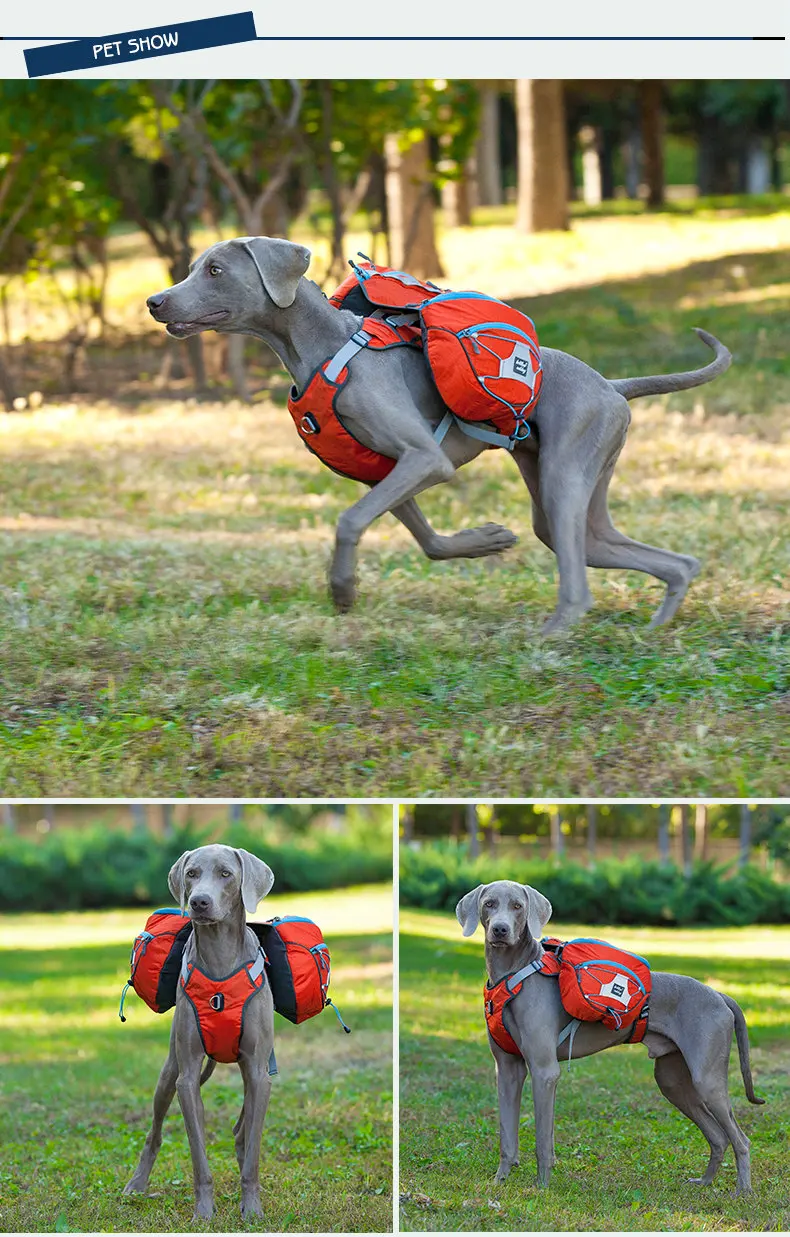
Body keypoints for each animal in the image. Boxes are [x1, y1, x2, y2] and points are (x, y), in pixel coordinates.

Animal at [124, 846, 276, 1222]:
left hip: (255, 1071)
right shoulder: (187, 1077)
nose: (199, 902)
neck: (220, 958)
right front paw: (204, 1213)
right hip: (168, 1072)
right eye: (191, 873)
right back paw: (137, 1184)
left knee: (242, 1131)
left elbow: (253, 1155)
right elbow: (198, 1157)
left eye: (225, 874)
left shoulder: (259, 1071)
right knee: (154, 1133)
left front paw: (252, 1209)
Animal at [145, 235, 731, 633]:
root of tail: (611, 385)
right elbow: (423, 539)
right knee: (642, 554)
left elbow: (348, 520)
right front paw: (485, 540)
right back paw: (659, 621)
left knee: (578, 582)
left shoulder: (425, 459)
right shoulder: (384, 470)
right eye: (193, 269)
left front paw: (342, 590)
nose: (154, 301)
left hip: (566, 473)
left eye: (215, 269)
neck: (324, 348)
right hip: (569, 481)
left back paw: (551, 635)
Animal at [457, 880, 766, 1197]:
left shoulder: (545, 1072)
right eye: (489, 904)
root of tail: (719, 995)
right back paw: (705, 1182)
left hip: (707, 1079)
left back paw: (743, 1191)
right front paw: (499, 1182)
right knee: (718, 1136)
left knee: (741, 1139)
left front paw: (541, 1189)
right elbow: (507, 1137)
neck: (513, 974)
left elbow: (543, 1141)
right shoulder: (508, 1070)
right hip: (673, 1081)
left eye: (518, 906)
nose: (500, 930)